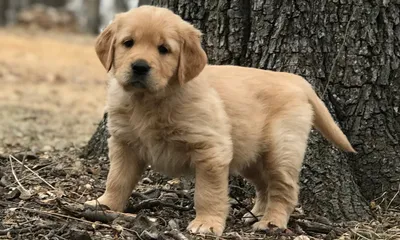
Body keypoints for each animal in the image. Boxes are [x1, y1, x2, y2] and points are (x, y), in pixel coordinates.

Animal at [85, 5, 356, 236]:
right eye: (128, 43)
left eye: (164, 49)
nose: (140, 67)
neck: (149, 101)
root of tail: (294, 79)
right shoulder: (124, 143)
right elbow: (117, 178)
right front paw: (104, 205)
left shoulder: (211, 149)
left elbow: (208, 192)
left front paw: (206, 223)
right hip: (251, 156)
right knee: (264, 185)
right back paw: (256, 213)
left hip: (281, 149)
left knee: (284, 189)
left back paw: (271, 221)